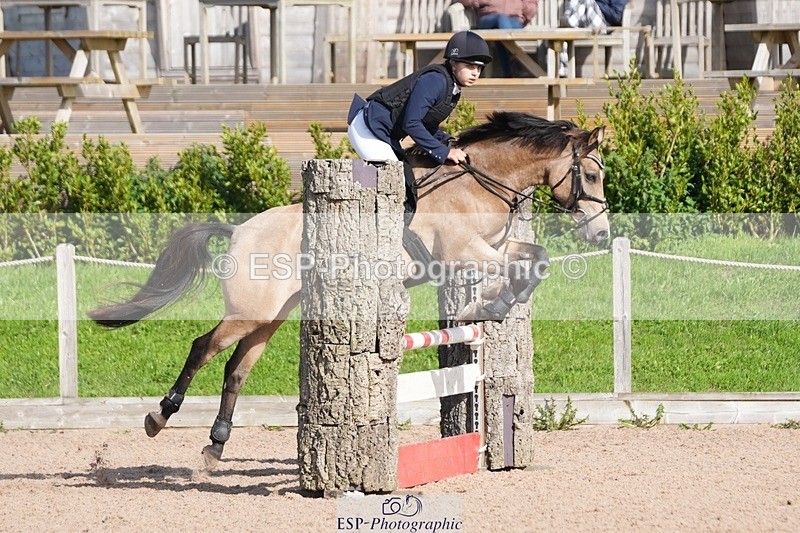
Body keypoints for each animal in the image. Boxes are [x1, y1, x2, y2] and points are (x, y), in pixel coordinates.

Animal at [89, 111, 609, 468]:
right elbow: (526, 264)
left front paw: (492, 304)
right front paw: (491, 303)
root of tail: (239, 231)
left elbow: (535, 259)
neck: (478, 184)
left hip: (271, 315)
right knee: (202, 347)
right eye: (592, 175)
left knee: (236, 369)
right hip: (250, 311)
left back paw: (215, 446)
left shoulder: (494, 247)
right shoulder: (463, 251)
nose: (601, 235)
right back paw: (159, 417)